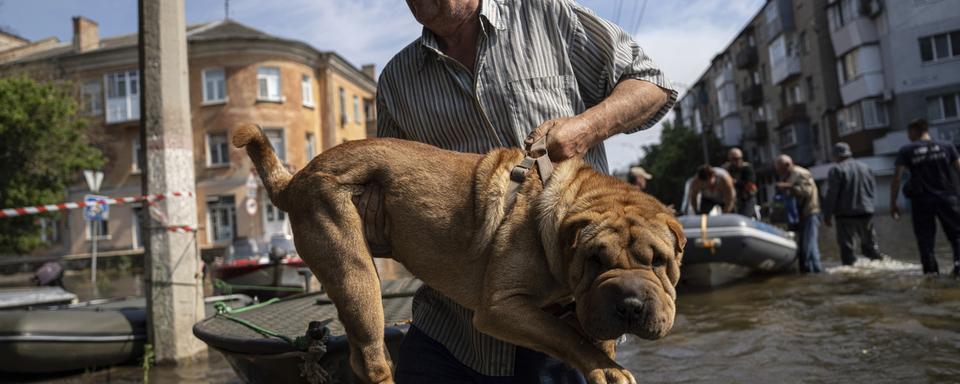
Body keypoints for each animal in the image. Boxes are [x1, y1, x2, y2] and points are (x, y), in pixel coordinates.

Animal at [232, 124, 684, 384]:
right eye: (595, 260)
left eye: (659, 261)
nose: (630, 304)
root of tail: (296, 180)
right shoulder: (502, 307)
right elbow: (565, 336)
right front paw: (605, 368)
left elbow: (588, 334)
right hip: (355, 275)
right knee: (375, 360)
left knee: (362, 359)